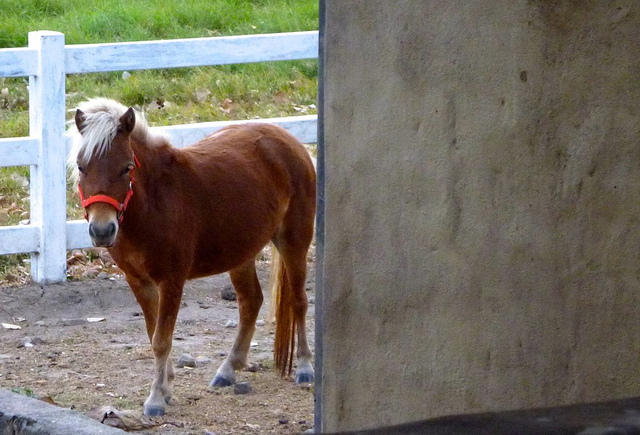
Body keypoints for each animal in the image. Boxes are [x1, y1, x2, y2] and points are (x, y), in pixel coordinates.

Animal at [67, 98, 316, 417]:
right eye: (81, 167)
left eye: (126, 168)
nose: (101, 230)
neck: (156, 203)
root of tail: (290, 140)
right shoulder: (138, 281)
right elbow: (153, 333)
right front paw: (166, 387)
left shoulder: (172, 281)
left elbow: (161, 340)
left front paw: (156, 399)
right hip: (241, 253)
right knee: (251, 302)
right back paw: (227, 369)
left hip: (294, 242)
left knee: (298, 301)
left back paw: (305, 368)